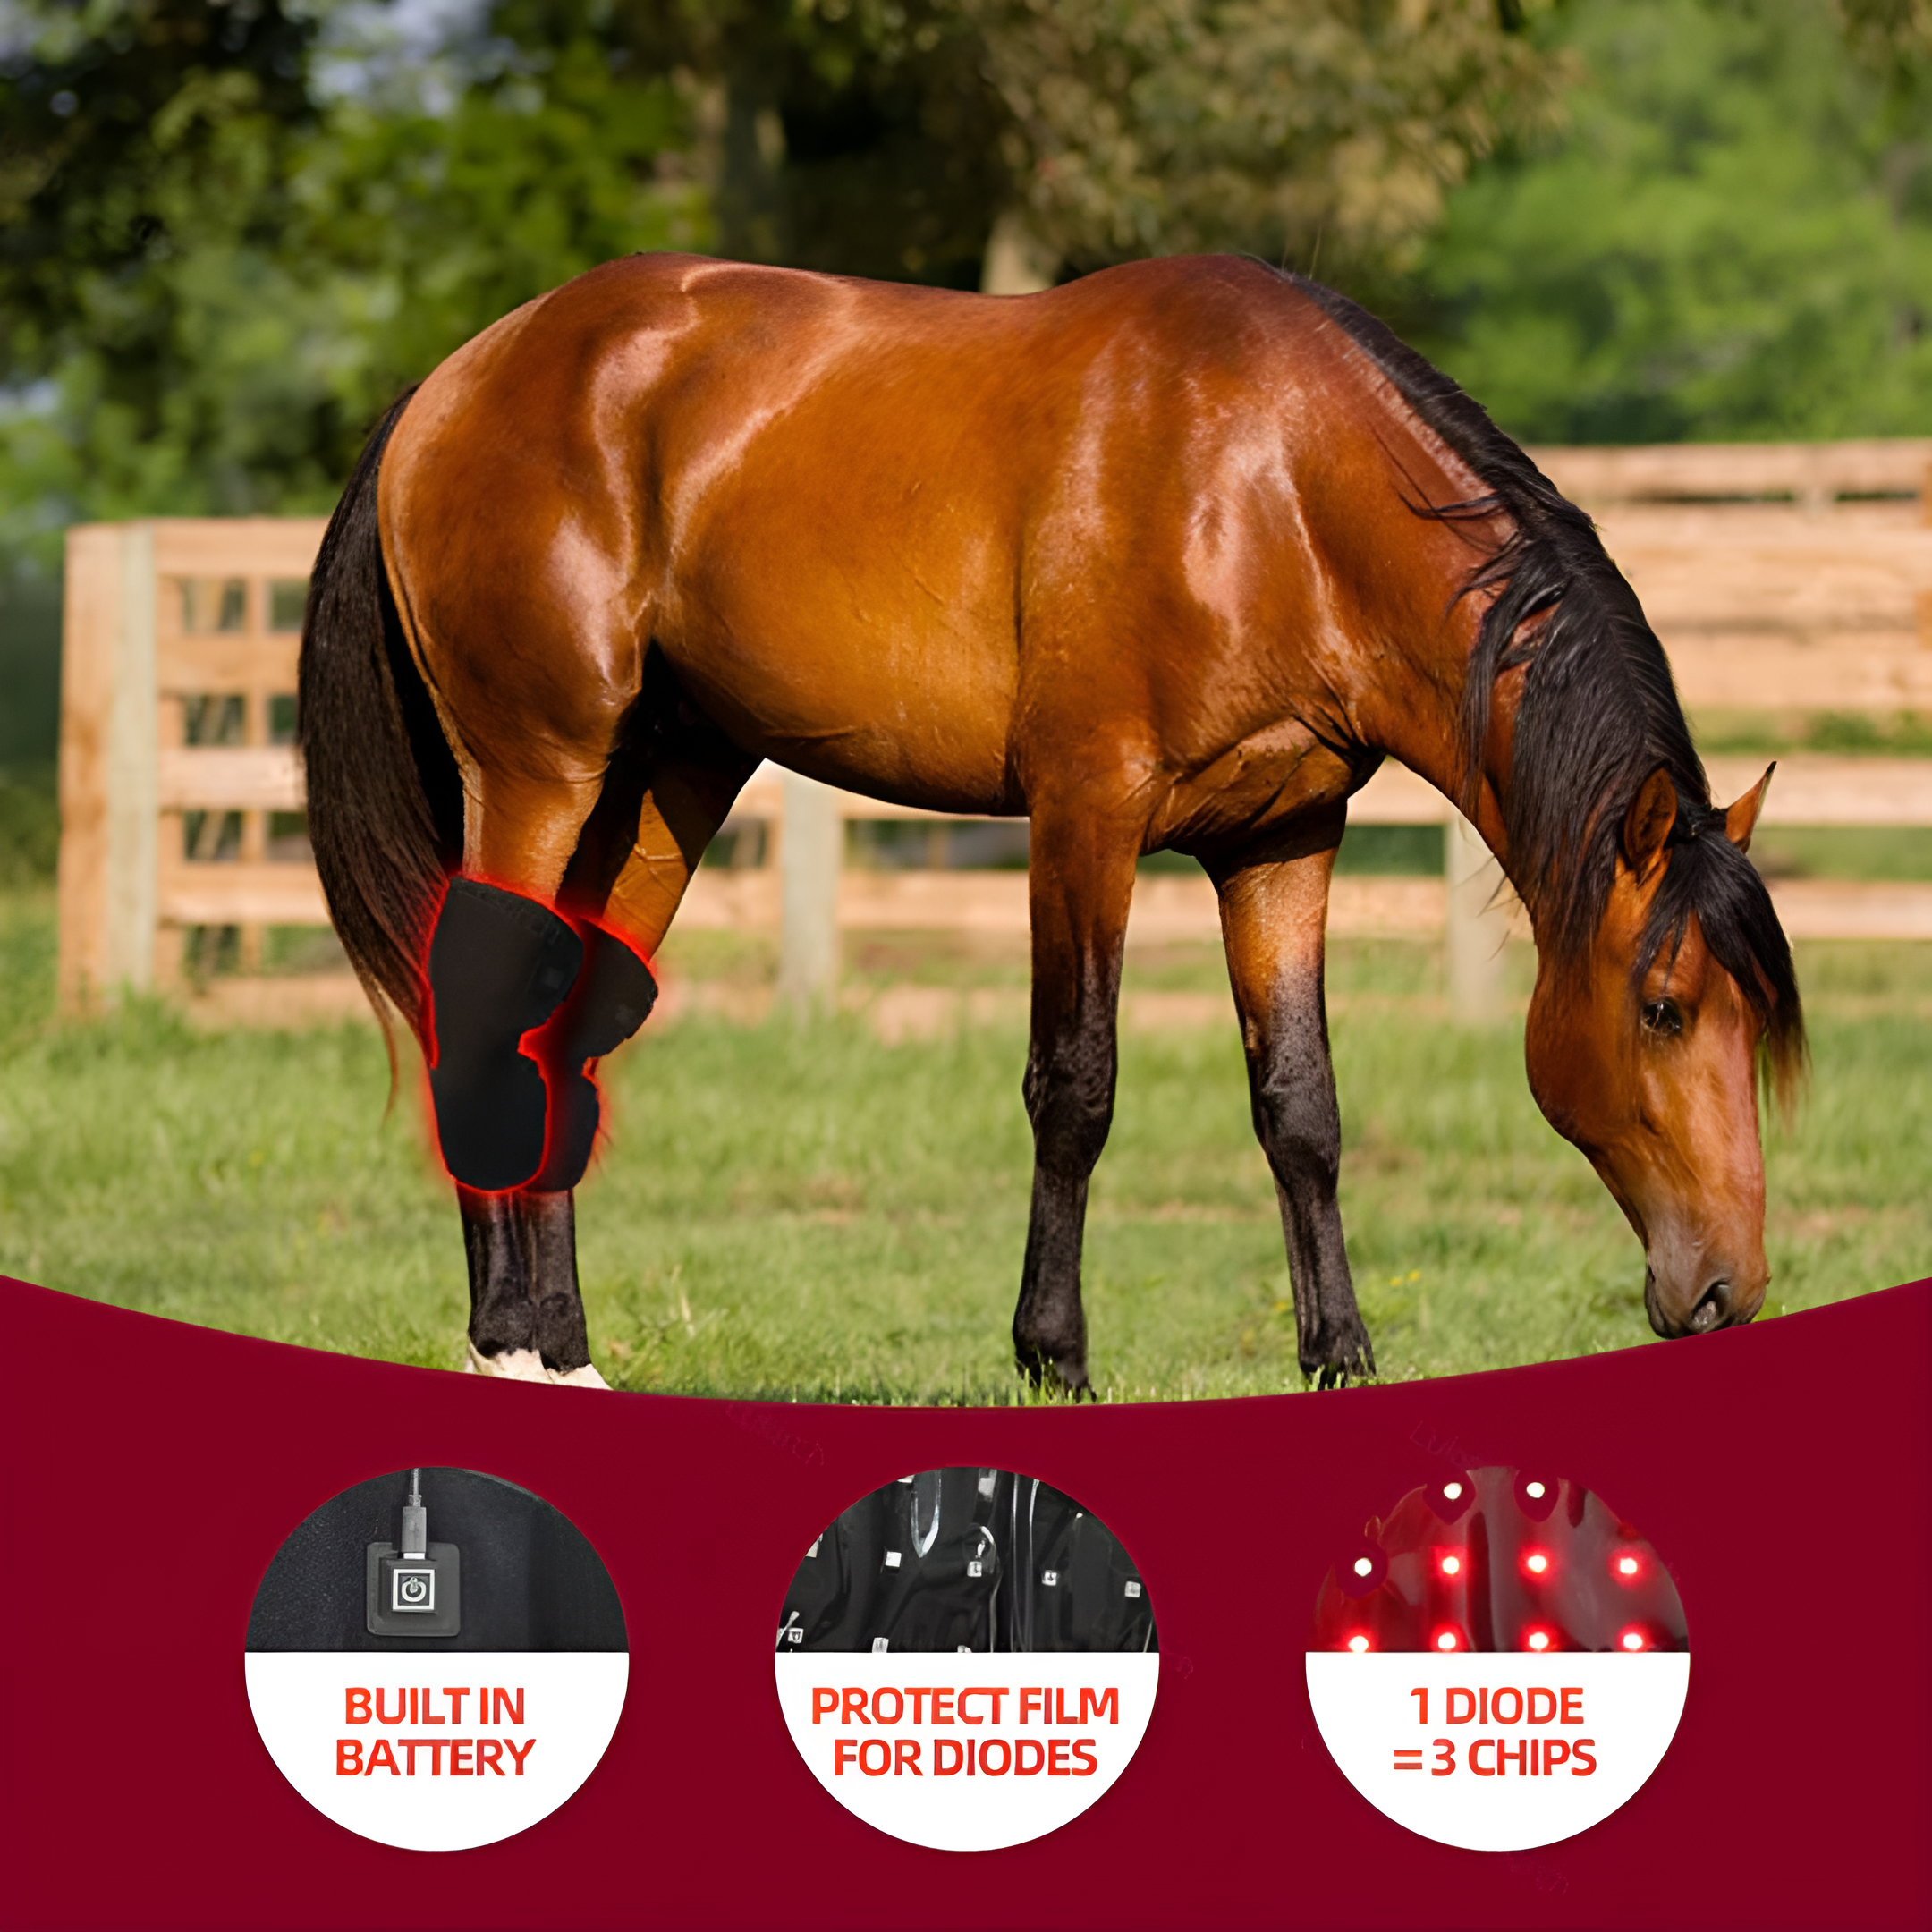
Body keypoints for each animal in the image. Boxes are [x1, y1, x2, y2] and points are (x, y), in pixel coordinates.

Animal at [298, 251, 1804, 1395]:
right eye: (1665, 1007)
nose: (1725, 1290)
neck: (1270, 487)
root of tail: (454, 378)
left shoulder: (1283, 841)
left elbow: (1301, 1106)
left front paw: (1340, 1353)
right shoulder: (1086, 813)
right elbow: (1075, 1086)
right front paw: (1052, 1353)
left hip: (669, 779)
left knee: (562, 1027)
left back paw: (565, 1351)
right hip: (539, 771)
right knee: (483, 1009)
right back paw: (504, 1342)